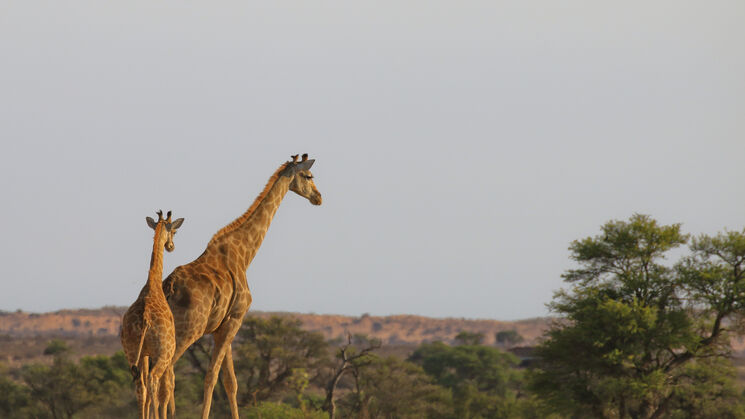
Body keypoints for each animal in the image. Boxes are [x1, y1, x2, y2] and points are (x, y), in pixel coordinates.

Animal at [122, 210, 185, 419]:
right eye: (174, 231)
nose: (171, 246)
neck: (153, 285)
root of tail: (145, 320)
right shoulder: (160, 353)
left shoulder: (144, 354)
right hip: (163, 353)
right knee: (153, 381)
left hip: (131, 351)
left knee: (140, 386)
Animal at [163, 155, 320, 419]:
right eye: (308, 176)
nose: (319, 197)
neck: (244, 255)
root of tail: (170, 286)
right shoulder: (235, 319)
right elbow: (212, 377)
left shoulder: (223, 325)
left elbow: (231, 381)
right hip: (189, 329)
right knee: (164, 371)